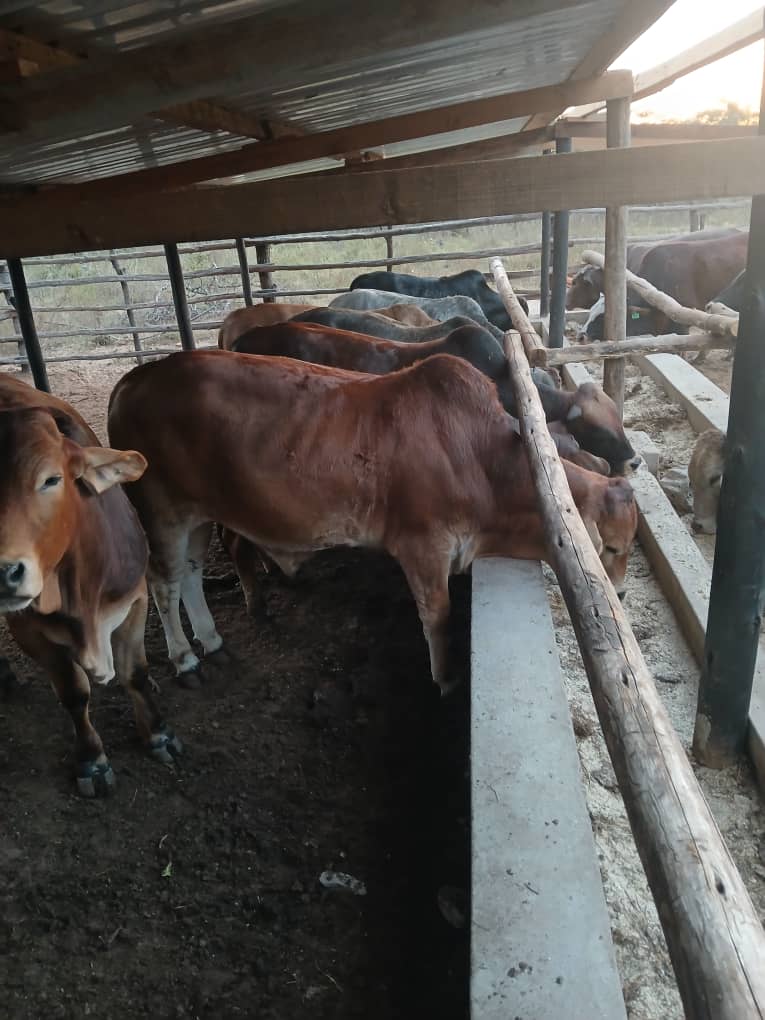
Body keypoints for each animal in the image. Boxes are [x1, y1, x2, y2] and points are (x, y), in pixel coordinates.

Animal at [0, 374, 180, 795]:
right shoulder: (28, 629)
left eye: (51, 479)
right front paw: (92, 760)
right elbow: (74, 693)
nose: (4, 572)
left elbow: (135, 674)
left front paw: (158, 734)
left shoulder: (135, 601)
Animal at [108, 351, 639, 693]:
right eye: (610, 548)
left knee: (191, 575)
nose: (620, 594)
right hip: (162, 511)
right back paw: (184, 659)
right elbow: (438, 618)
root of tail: (136, 377)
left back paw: (213, 641)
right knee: (164, 584)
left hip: (199, 514)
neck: (481, 458)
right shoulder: (423, 548)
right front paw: (446, 680)